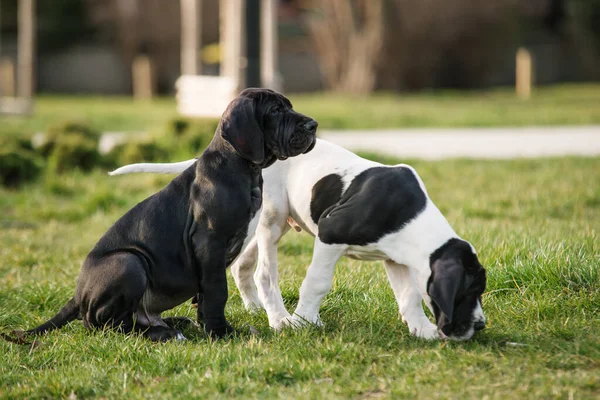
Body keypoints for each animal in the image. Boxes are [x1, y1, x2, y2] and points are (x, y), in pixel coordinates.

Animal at [110, 138, 486, 340]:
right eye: (469, 291)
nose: (480, 325)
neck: (412, 217)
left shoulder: (395, 258)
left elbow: (409, 295)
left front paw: (421, 329)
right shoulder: (330, 235)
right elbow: (317, 282)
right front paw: (305, 320)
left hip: (255, 228)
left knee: (242, 267)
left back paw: (255, 307)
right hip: (271, 219)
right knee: (264, 273)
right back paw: (279, 318)